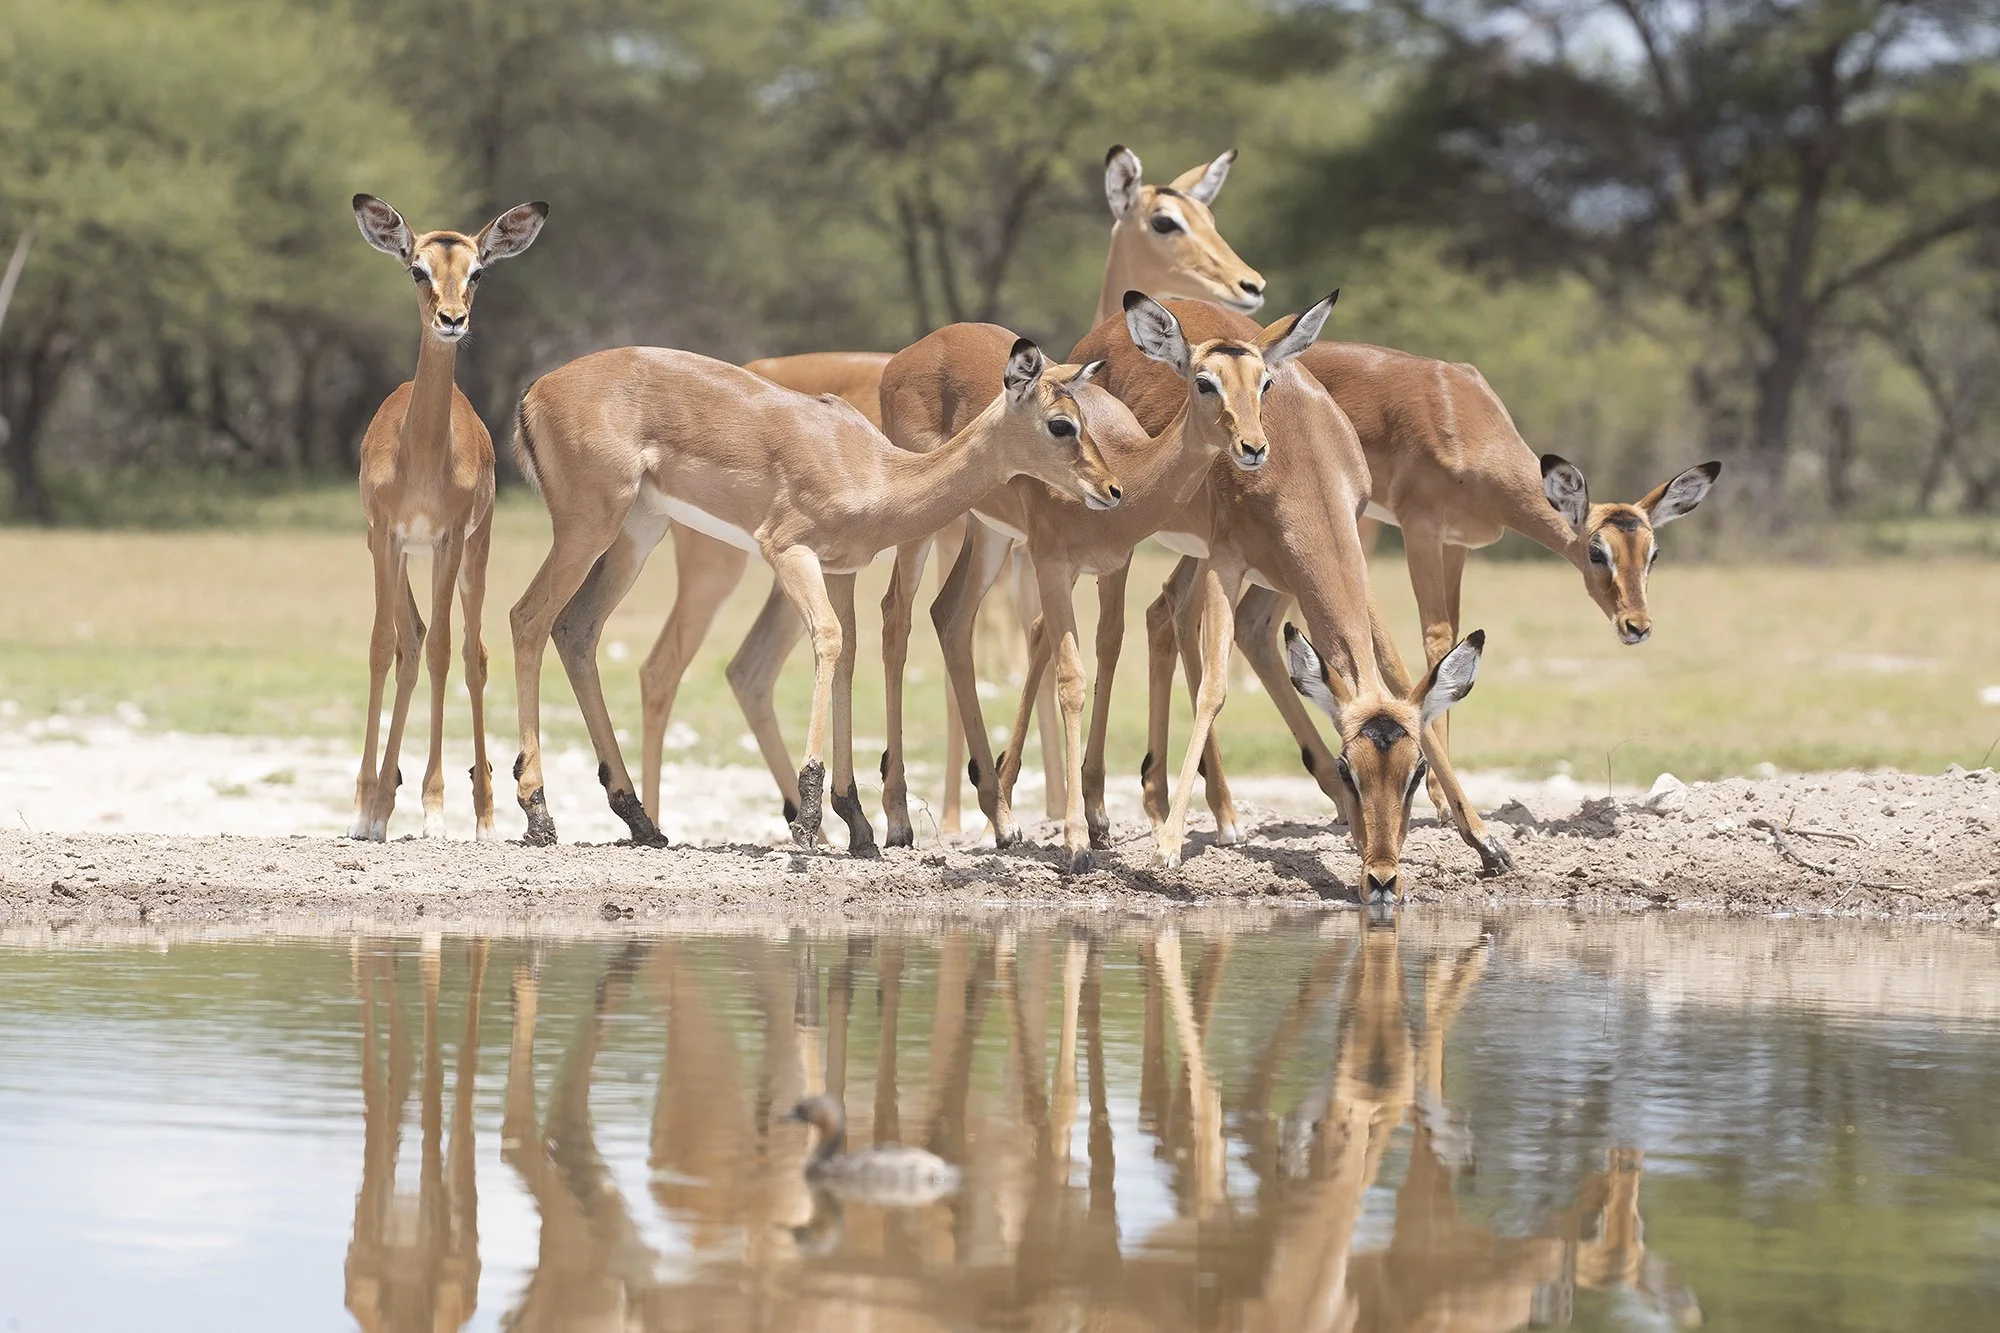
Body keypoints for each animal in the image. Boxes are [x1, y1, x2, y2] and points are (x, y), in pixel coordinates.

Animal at [347, 196, 547, 841]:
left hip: (469, 555)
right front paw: (366, 810)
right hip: (402, 557)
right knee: (410, 644)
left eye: (477, 271)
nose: (452, 319)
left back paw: (481, 814)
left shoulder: (449, 539)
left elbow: (441, 654)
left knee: (467, 653)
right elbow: (383, 648)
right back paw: (382, 800)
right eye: (417, 268)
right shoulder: (385, 538)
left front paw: (434, 808)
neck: (422, 457)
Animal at [506, 339, 1120, 851]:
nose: (1112, 489)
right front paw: (809, 820)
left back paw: (639, 820)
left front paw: (857, 824)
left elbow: (847, 655)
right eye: (1061, 424)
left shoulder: (840, 569)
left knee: (577, 628)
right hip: (592, 527)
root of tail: (535, 391)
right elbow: (827, 637)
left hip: (637, 531)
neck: (875, 470)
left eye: (1086, 417)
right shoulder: (789, 551)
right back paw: (539, 815)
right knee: (528, 617)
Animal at [637, 145, 1265, 838]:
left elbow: (1064, 641)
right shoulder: (1010, 548)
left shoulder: (1048, 554)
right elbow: (1006, 643)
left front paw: (1062, 809)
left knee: (756, 668)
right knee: (688, 663)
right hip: (735, 565)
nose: (1249, 285)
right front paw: (1002, 813)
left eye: (1208, 215)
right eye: (1164, 221)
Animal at [879, 291, 1333, 869]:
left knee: (951, 616)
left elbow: (1109, 648)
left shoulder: (1115, 565)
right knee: (897, 616)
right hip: (924, 525)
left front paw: (1097, 822)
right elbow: (1071, 681)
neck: (1123, 465)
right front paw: (1076, 839)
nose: (1253, 447)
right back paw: (896, 821)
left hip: (990, 533)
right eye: (1204, 380)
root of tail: (910, 354)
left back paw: (1002, 821)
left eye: (1264, 382)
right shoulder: (1052, 565)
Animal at [1070, 300, 1510, 892]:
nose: (1382, 877)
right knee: (1108, 637)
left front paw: (1485, 840)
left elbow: (1397, 673)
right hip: (1126, 545)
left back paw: (1211, 814)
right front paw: (1167, 849)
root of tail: (1101, 335)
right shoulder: (1228, 562)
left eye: (1414, 772)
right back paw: (1099, 818)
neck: (1303, 454)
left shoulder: (1352, 559)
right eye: (1350, 767)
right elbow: (1214, 690)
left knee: (1168, 616)